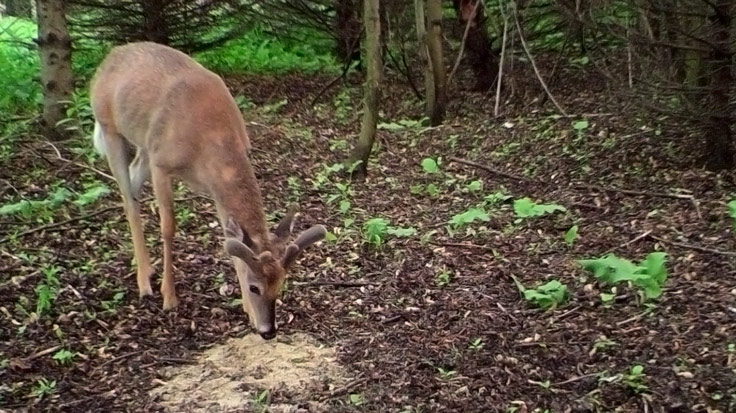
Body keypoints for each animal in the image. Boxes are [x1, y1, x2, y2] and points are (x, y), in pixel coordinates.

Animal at [90, 41, 324, 338]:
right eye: (255, 287)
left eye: (281, 284)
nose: (269, 331)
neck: (209, 139)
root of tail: (109, 57)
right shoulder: (162, 164)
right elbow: (169, 227)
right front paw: (169, 297)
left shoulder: (215, 186)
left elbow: (231, 239)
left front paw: (248, 312)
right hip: (109, 128)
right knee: (127, 197)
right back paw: (144, 281)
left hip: (143, 143)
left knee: (132, 180)